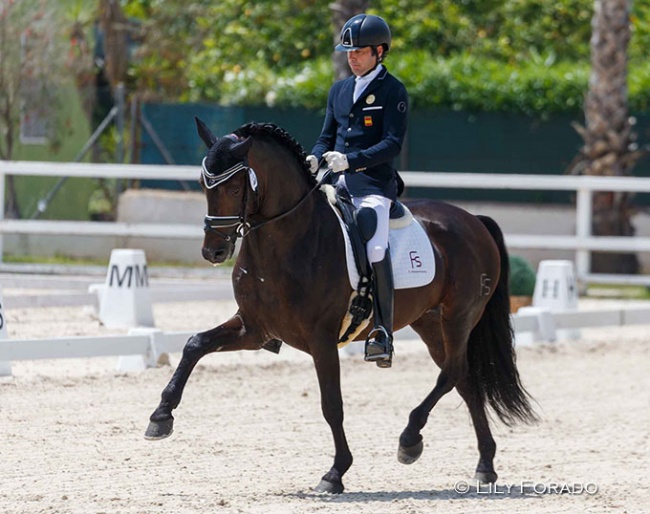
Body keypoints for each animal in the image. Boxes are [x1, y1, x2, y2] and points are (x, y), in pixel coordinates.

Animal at [147, 117, 536, 492]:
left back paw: (410, 440)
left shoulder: (320, 338)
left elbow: (331, 405)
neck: (288, 239)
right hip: (429, 322)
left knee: (452, 373)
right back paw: (485, 465)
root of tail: (473, 220)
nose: (213, 252)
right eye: (204, 183)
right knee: (465, 380)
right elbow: (195, 344)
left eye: (234, 187)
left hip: (458, 316)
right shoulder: (255, 328)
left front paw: (335, 473)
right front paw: (160, 417)